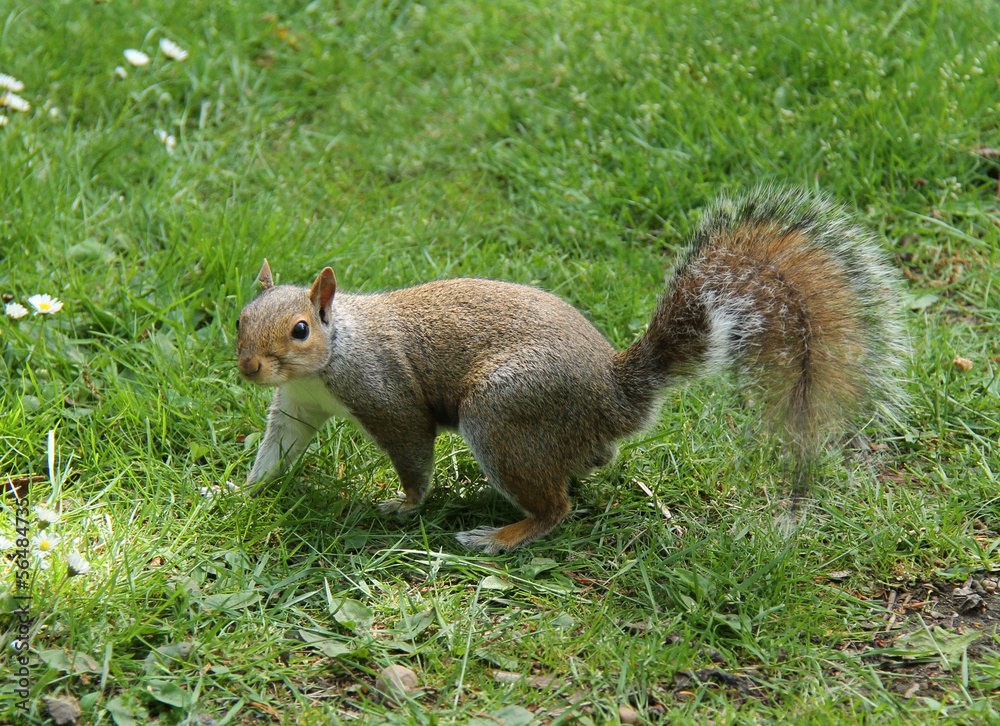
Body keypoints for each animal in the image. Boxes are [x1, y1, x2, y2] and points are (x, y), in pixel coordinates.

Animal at [236, 186, 907, 553]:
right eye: (240, 317)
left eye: (300, 329)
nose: (249, 368)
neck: (332, 354)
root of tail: (613, 394)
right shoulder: (297, 407)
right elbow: (277, 450)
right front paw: (239, 489)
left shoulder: (387, 397)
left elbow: (412, 454)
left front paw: (403, 507)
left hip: (502, 415)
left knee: (555, 509)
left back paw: (500, 536)